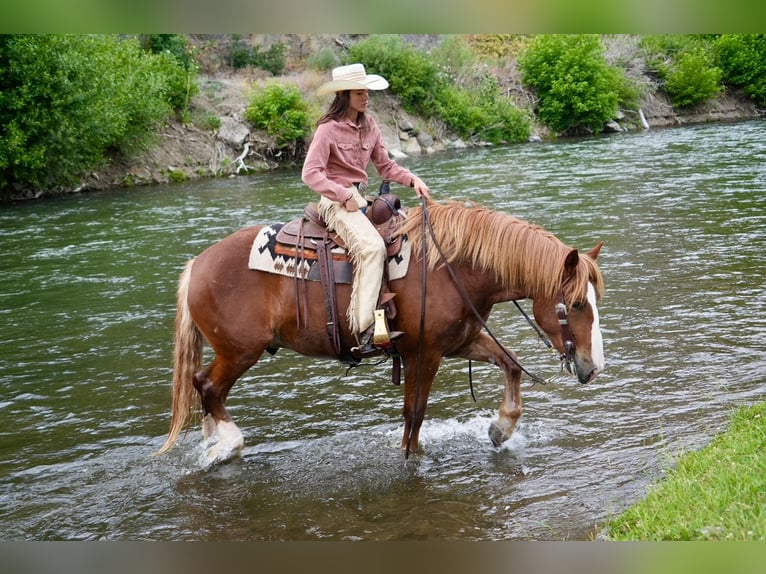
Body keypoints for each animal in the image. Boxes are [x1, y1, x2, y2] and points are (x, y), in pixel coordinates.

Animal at [157, 198, 605, 467]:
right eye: (576, 305)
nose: (593, 366)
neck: (451, 266)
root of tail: (198, 264)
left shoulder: (459, 341)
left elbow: (510, 363)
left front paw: (501, 428)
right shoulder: (423, 353)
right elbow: (415, 412)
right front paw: (411, 458)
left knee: (204, 387)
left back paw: (213, 440)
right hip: (239, 351)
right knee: (207, 386)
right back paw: (227, 442)